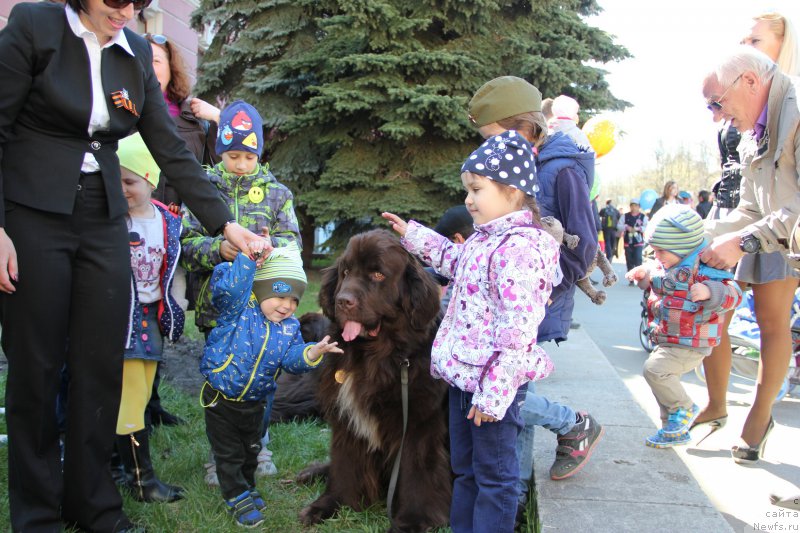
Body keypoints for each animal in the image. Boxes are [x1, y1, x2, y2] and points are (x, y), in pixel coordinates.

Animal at [298, 229, 454, 532]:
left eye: (378, 275)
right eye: (346, 272)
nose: (342, 300)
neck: (378, 356)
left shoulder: (419, 426)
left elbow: (418, 474)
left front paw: (412, 521)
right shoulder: (347, 421)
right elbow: (344, 465)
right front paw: (331, 504)